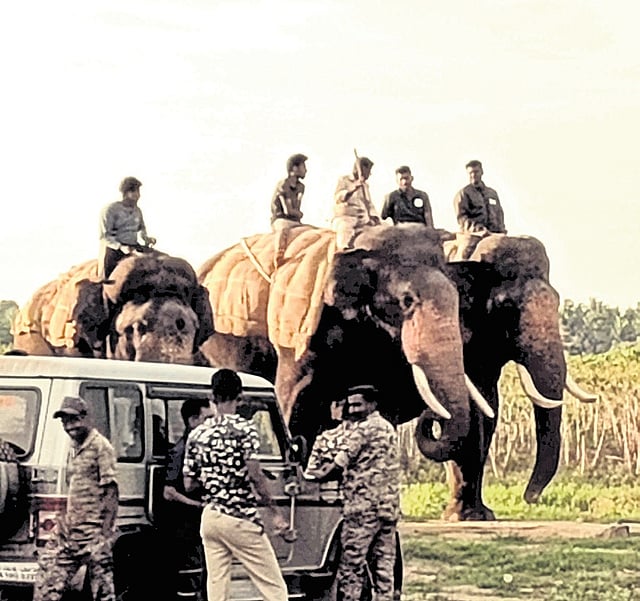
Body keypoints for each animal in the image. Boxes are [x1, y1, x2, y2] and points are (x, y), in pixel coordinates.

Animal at [441, 233, 597, 520]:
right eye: (505, 307)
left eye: (557, 301)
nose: (530, 497)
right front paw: (461, 517)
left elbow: (489, 409)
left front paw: (481, 516)